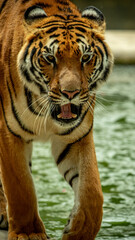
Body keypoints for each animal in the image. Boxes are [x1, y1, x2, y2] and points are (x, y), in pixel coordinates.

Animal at [0, 0, 113, 239]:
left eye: (85, 57)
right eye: (50, 58)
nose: (70, 93)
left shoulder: (76, 135)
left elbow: (92, 191)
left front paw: (77, 231)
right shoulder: (8, 132)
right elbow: (20, 187)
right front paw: (28, 233)